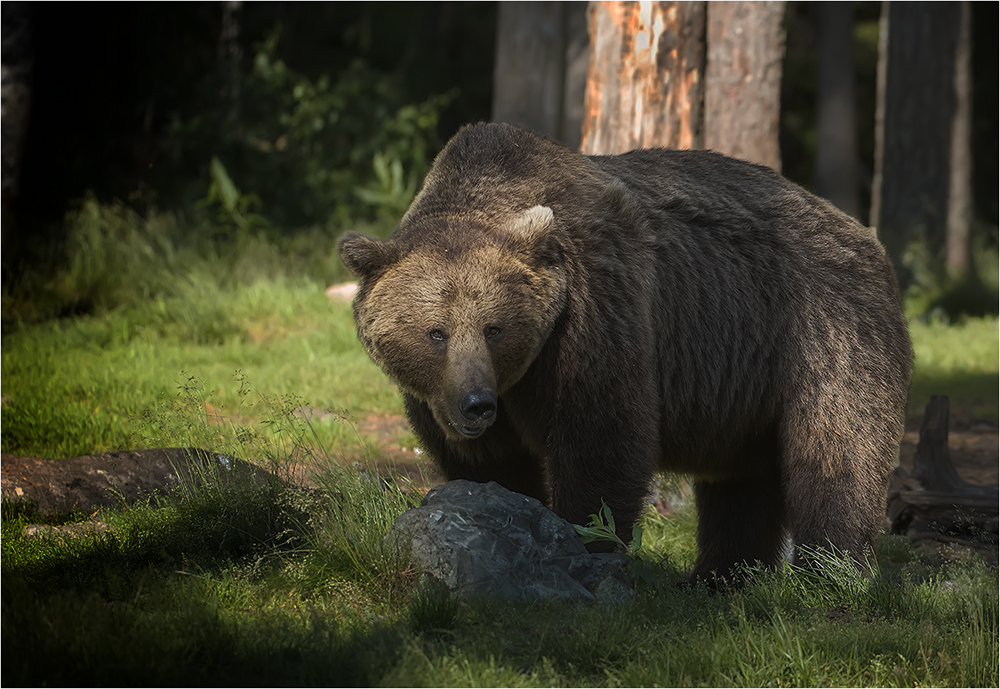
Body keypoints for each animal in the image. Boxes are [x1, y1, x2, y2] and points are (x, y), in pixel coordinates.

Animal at [342, 119, 916, 580]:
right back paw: (721, 577)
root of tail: (867, 238)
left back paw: (829, 573)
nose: (476, 405)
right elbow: (491, 465)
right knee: (741, 484)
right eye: (435, 332)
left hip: (824, 331)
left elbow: (601, 439)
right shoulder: (444, 397)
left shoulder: (593, 314)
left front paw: (583, 542)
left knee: (835, 454)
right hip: (743, 383)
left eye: (494, 328)